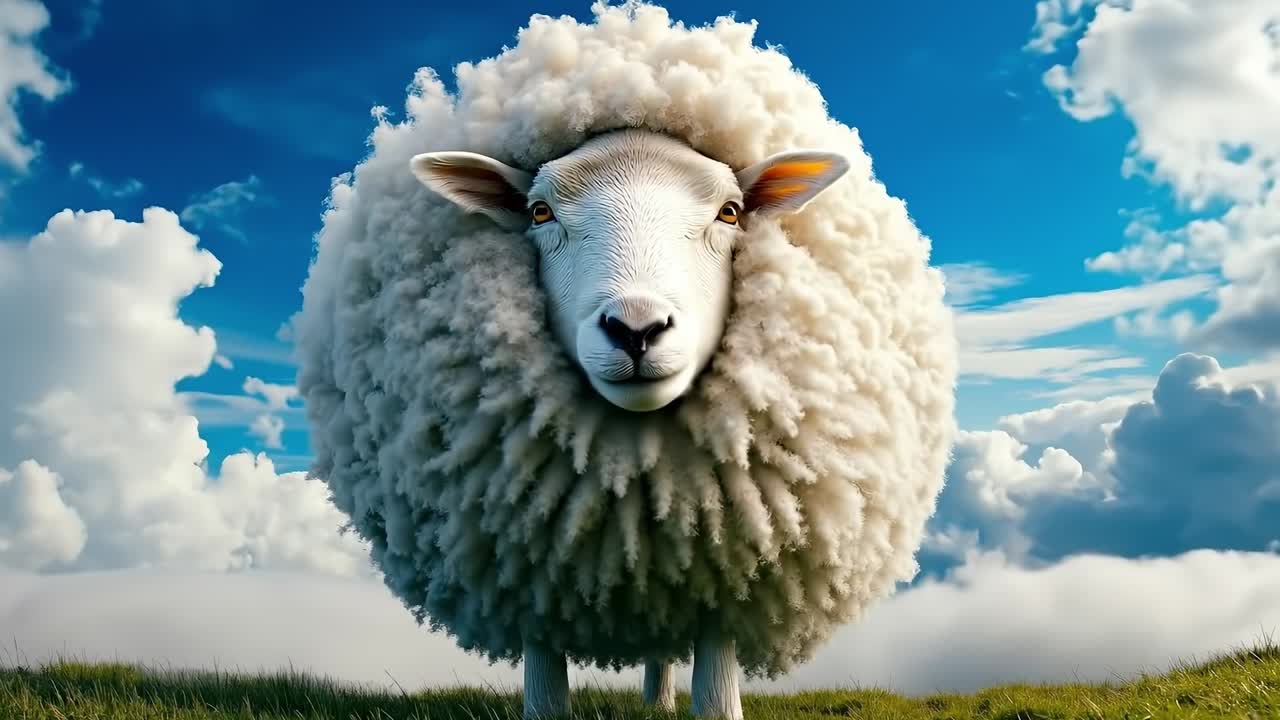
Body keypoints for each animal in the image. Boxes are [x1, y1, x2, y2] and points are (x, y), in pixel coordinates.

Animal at [293, 3, 957, 718]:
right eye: (538, 211)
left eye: (731, 211)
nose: (637, 329)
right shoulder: (528, 572)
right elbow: (545, 697)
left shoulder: (727, 577)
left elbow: (716, 698)